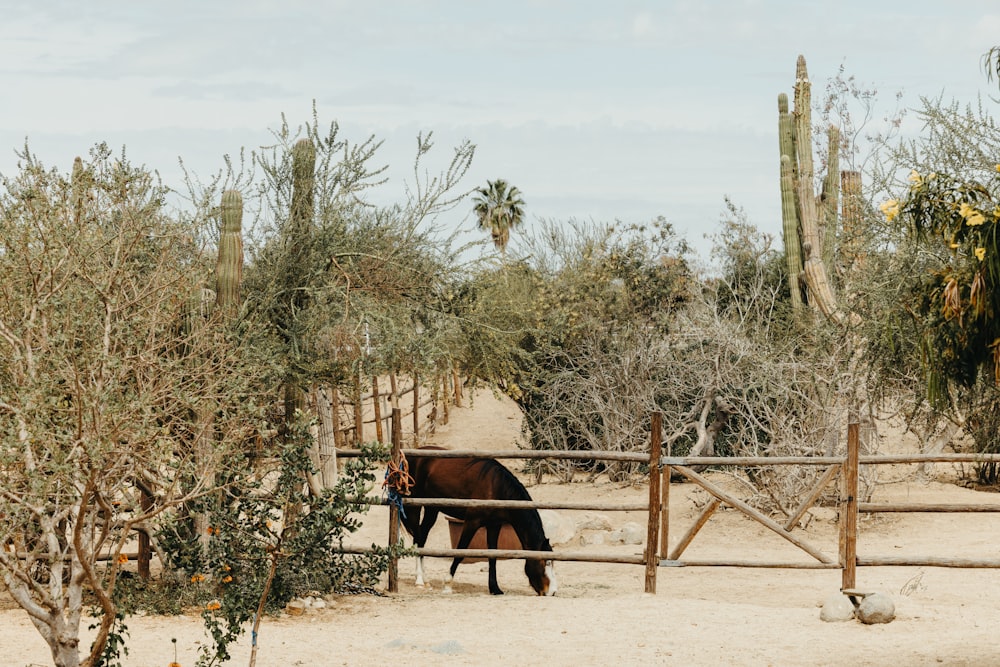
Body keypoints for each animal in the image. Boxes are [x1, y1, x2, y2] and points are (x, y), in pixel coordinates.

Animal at [398, 448, 556, 596]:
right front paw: (448, 584)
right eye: (546, 562)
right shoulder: (471, 523)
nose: (552, 591)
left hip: (432, 510)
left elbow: (492, 555)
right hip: (414, 509)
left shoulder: (494, 526)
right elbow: (460, 551)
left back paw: (425, 580)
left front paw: (495, 588)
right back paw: (419, 580)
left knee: (422, 538)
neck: (496, 488)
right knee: (418, 539)